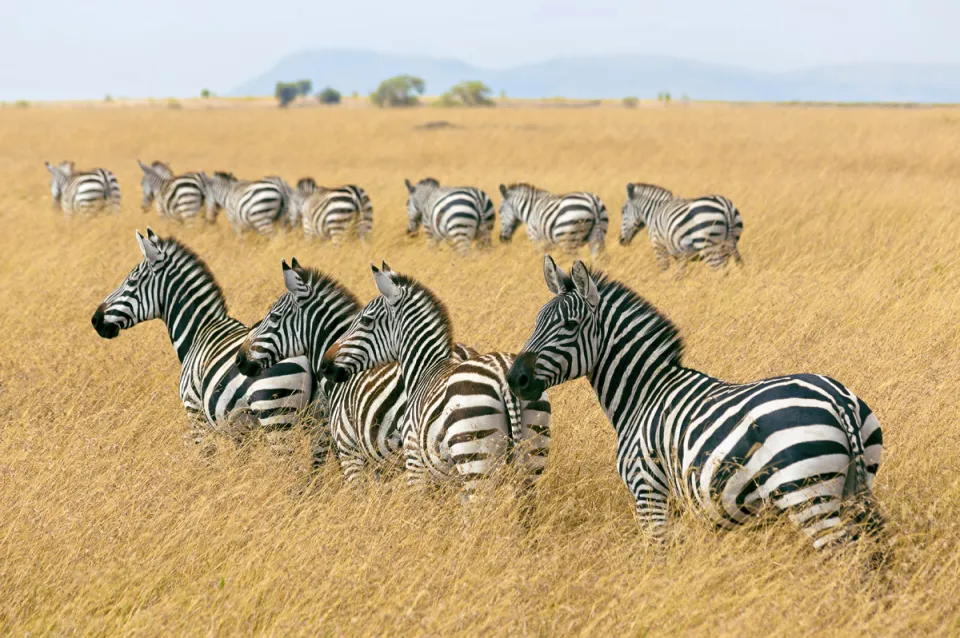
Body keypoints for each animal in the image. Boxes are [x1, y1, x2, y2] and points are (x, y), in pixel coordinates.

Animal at [90, 228, 316, 452]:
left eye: (131, 282)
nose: (95, 320)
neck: (199, 330)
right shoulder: (239, 431)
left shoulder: (195, 412)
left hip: (275, 416)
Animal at [320, 262, 552, 502]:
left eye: (366, 320)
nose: (325, 364)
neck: (426, 369)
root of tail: (501, 371)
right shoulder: (443, 474)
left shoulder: (410, 457)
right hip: (534, 449)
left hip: (474, 454)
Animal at [506, 255, 888, 556]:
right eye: (537, 322)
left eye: (570, 325)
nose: (515, 379)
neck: (644, 393)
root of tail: (838, 401)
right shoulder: (673, 500)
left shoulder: (648, 492)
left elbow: (659, 557)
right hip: (853, 486)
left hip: (809, 496)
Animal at [620, 181, 748, 272]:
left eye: (623, 211)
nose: (620, 241)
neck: (655, 211)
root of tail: (725, 205)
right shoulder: (680, 254)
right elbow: (681, 274)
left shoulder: (659, 246)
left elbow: (664, 270)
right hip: (728, 244)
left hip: (706, 245)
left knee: (720, 272)